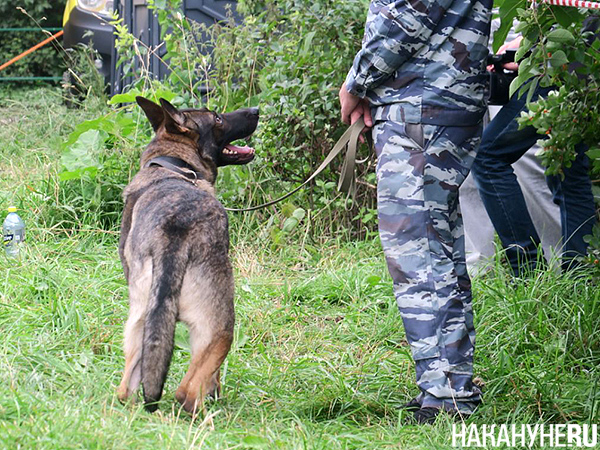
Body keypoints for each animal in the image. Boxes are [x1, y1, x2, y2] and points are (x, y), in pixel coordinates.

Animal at [116, 96, 258, 414]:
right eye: (217, 118)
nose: (255, 110)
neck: (173, 164)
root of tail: (174, 232)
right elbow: (212, 377)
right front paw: (215, 392)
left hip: (140, 324)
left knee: (126, 389)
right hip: (221, 327)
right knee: (188, 391)